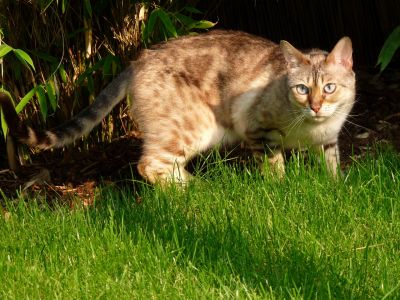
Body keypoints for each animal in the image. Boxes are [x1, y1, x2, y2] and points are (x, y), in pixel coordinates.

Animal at [0, 31, 356, 185]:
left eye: (329, 88)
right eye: (302, 89)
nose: (316, 107)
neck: (311, 129)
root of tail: (138, 60)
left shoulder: (328, 141)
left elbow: (332, 167)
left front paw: (335, 188)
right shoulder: (258, 130)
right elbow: (275, 168)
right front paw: (281, 190)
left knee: (163, 165)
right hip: (193, 127)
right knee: (149, 165)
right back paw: (195, 191)